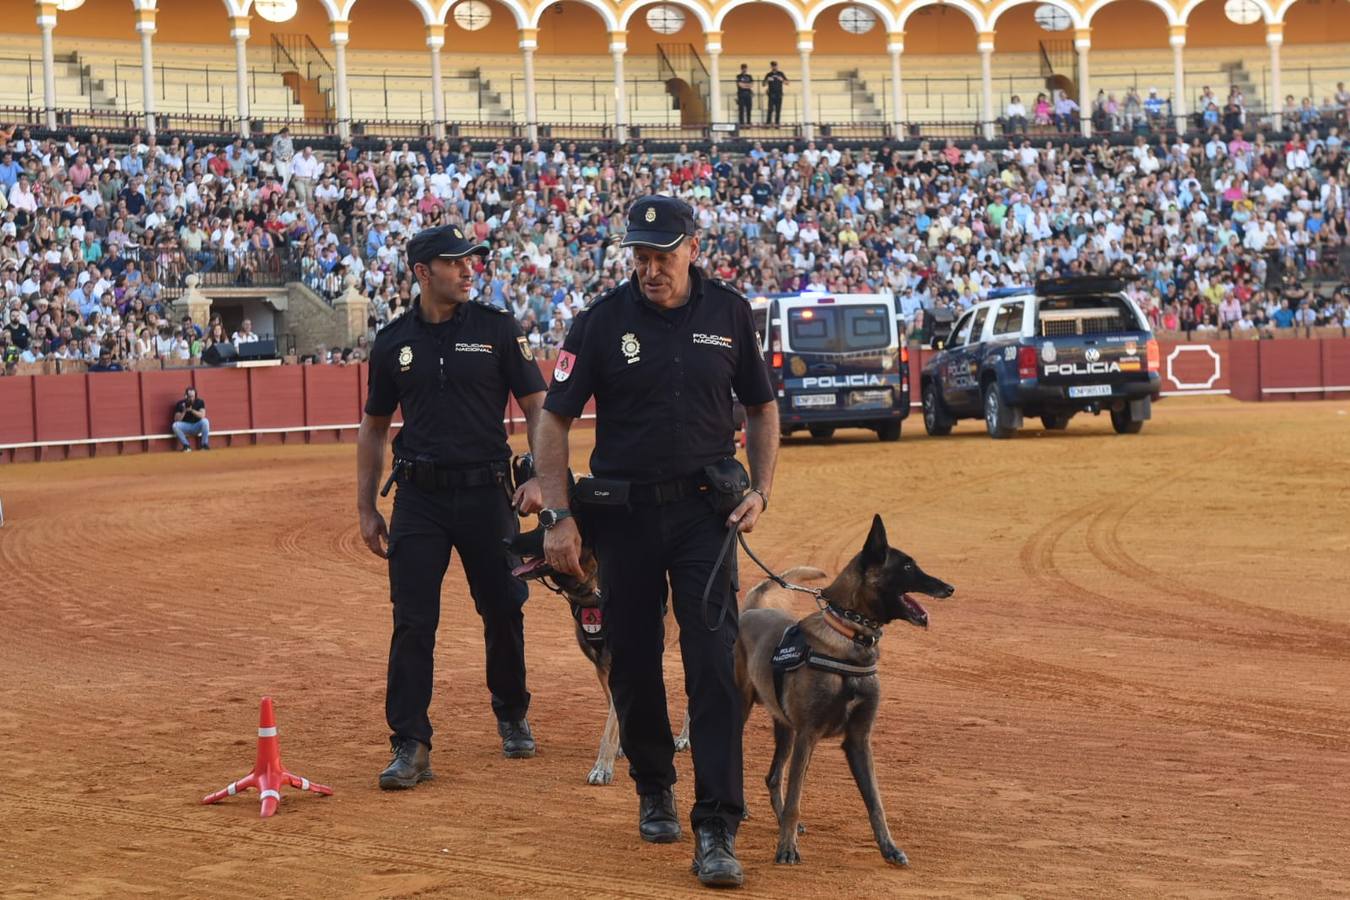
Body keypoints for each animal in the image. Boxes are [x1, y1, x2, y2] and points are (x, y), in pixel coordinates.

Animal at [739, 518, 950, 868]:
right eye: (907, 566)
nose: (950, 588)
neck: (850, 637)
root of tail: (750, 611)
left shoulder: (858, 739)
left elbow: (875, 802)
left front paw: (889, 848)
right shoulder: (808, 735)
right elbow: (796, 798)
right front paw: (787, 848)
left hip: (784, 729)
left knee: (772, 777)